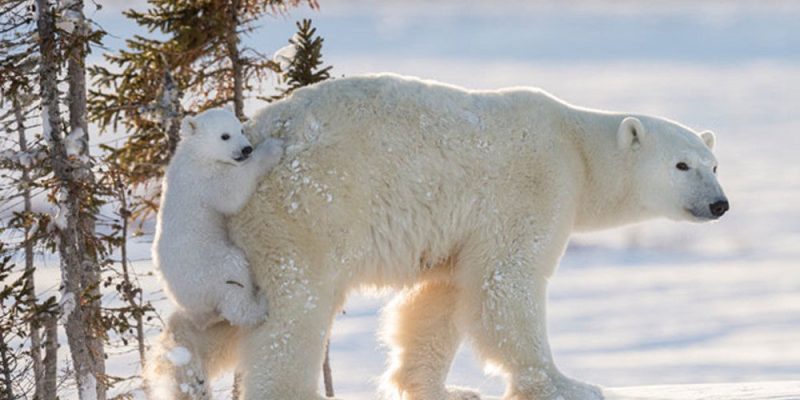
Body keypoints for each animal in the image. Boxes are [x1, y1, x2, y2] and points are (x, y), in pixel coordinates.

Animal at [152, 108, 286, 330]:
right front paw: (272, 147)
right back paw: (259, 305)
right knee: (234, 278)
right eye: (225, 136)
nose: (247, 149)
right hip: (210, 267)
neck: (196, 153)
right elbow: (232, 192)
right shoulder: (205, 179)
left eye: (240, 129)